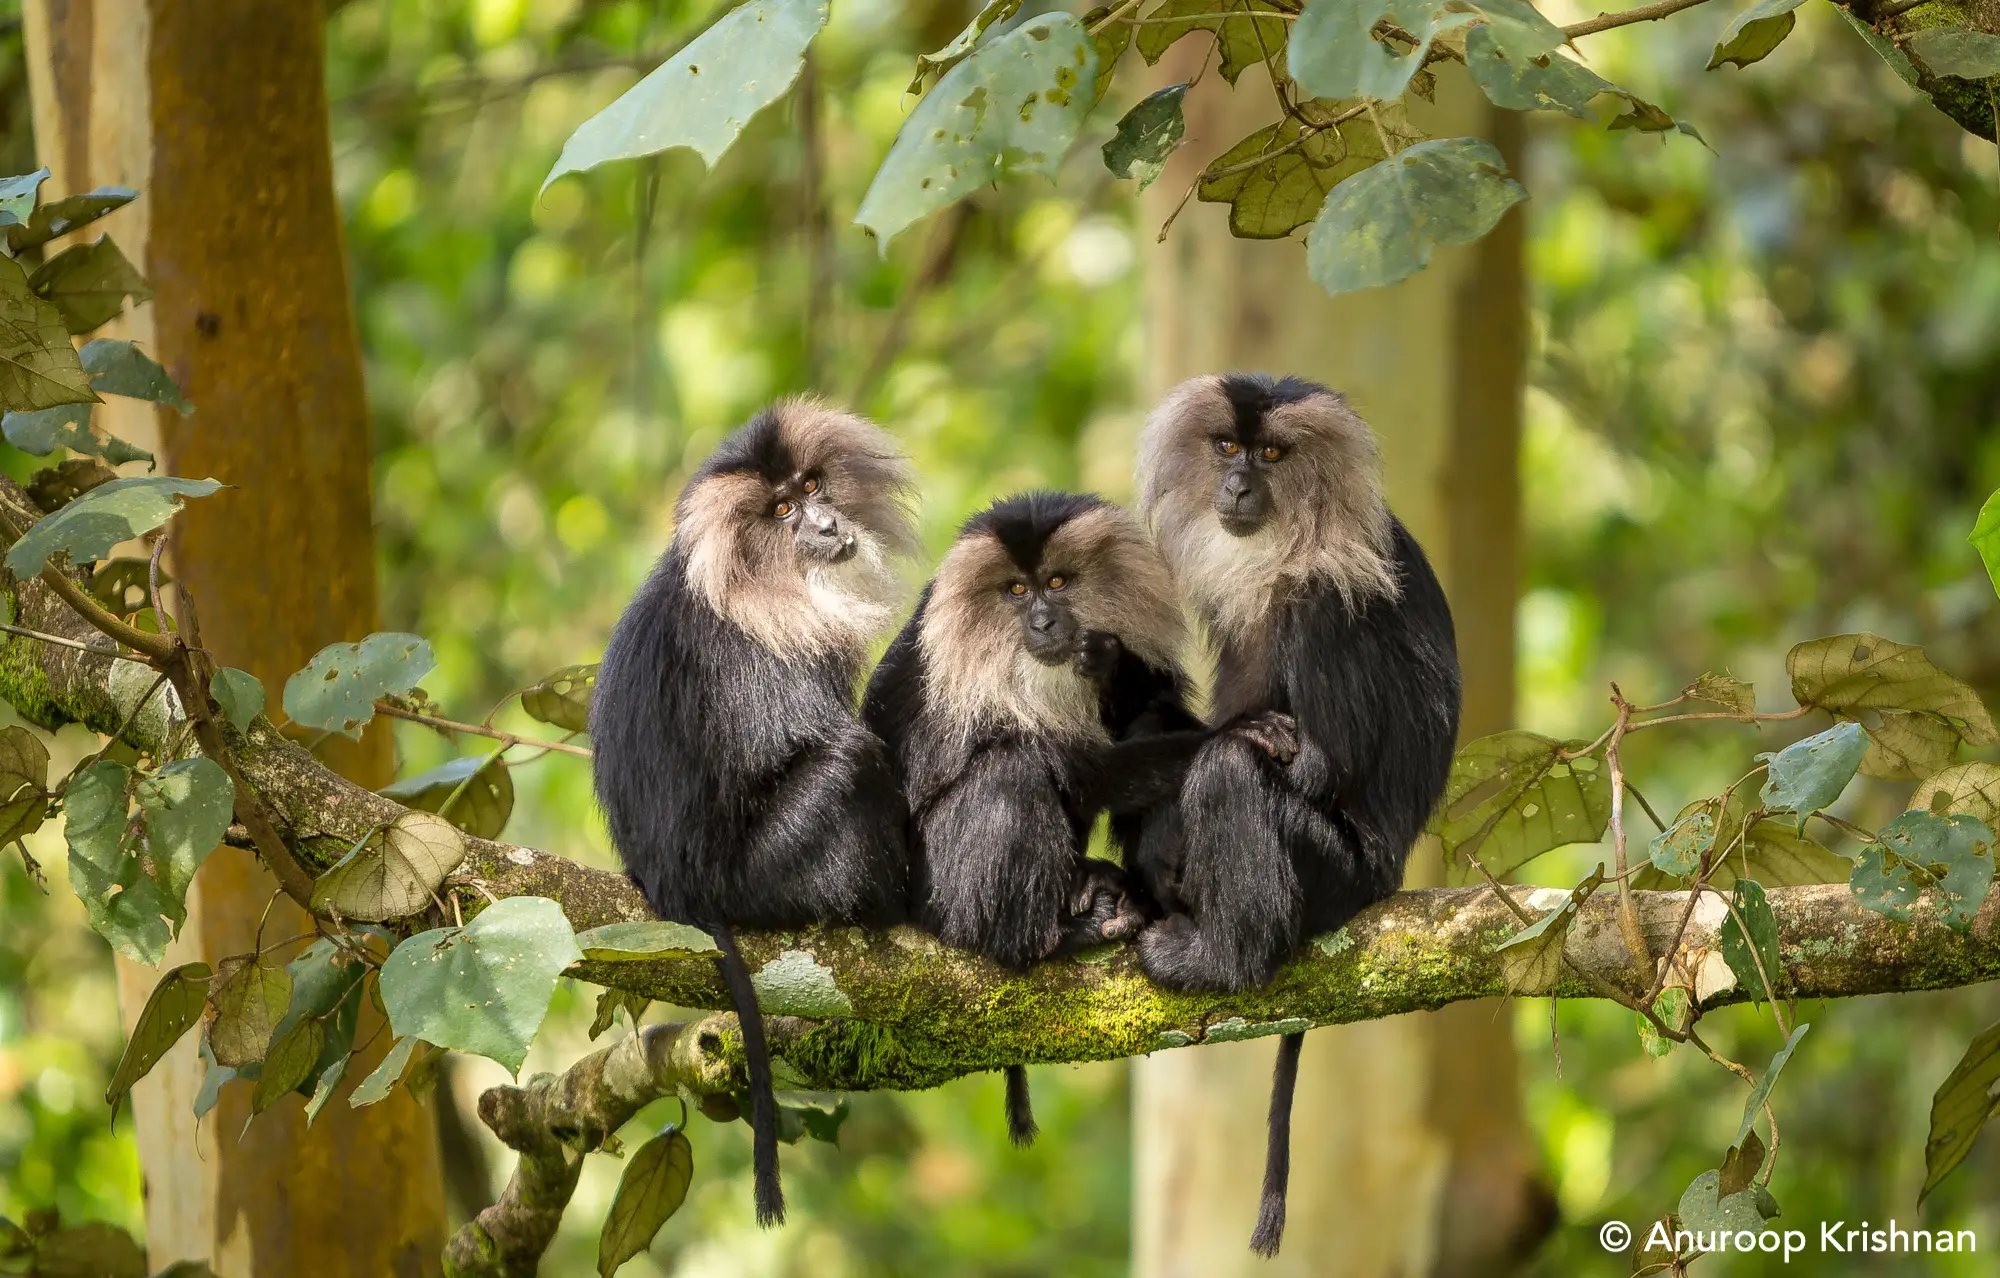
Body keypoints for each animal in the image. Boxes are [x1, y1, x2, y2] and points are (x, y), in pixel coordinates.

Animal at [590, 398, 918, 1229]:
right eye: (782, 512)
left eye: (811, 486)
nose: (827, 524)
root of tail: (675, 890)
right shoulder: (781, 645)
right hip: (765, 872)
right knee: (847, 763)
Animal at [860, 490, 1213, 1145]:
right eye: (1017, 591)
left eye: (1056, 583)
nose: (1044, 622)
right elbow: (1079, 771)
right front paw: (1239, 733)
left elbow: (1147, 706)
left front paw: (1113, 666)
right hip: (942, 895)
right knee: (1013, 770)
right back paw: (1050, 934)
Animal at [1132, 373, 1461, 1256]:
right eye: (1228, 448)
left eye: (1273, 454)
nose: (1239, 486)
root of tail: (1389, 872)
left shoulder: (1323, 596)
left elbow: (1311, 763)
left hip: (1337, 868)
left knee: (1229, 779)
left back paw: (1220, 958)